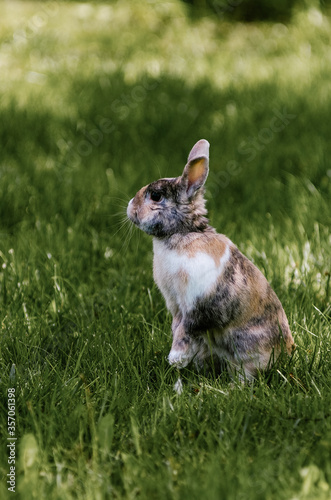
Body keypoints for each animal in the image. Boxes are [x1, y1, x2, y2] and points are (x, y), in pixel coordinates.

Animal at [127, 139, 296, 380]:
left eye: (156, 196)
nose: (130, 207)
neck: (184, 232)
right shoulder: (176, 306)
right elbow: (178, 327)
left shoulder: (196, 304)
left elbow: (187, 330)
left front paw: (175, 358)